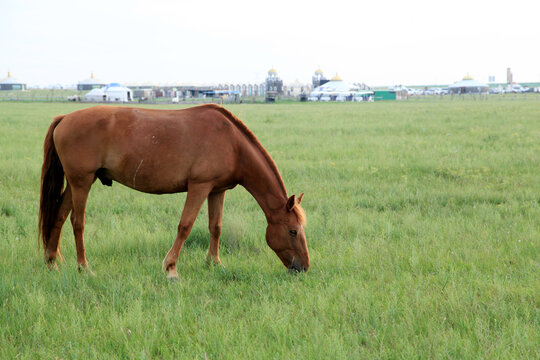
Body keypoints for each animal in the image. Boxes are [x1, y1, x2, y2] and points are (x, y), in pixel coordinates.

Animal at [38, 104, 310, 278]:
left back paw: (51, 262)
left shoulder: (217, 190)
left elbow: (215, 227)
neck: (232, 143)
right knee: (77, 222)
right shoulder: (199, 186)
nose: (304, 267)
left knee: (59, 216)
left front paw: (214, 263)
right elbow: (185, 226)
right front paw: (171, 268)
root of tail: (64, 118)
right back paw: (84, 267)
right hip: (82, 182)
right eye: (293, 231)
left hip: (76, 183)